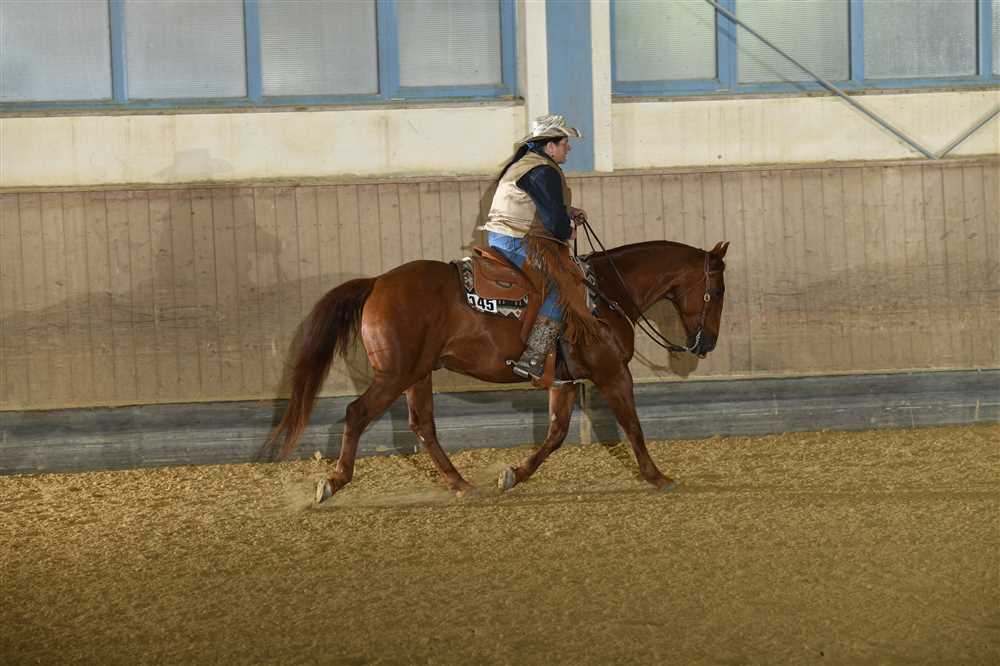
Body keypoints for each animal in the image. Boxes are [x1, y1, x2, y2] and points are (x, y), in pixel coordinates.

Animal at [270, 239, 730, 502]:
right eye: (719, 289)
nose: (707, 344)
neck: (605, 294)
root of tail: (378, 281)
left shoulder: (564, 380)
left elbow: (556, 433)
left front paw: (513, 474)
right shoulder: (612, 373)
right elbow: (632, 426)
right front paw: (658, 477)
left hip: (418, 374)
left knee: (423, 426)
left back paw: (460, 484)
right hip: (395, 375)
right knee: (358, 414)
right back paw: (334, 482)